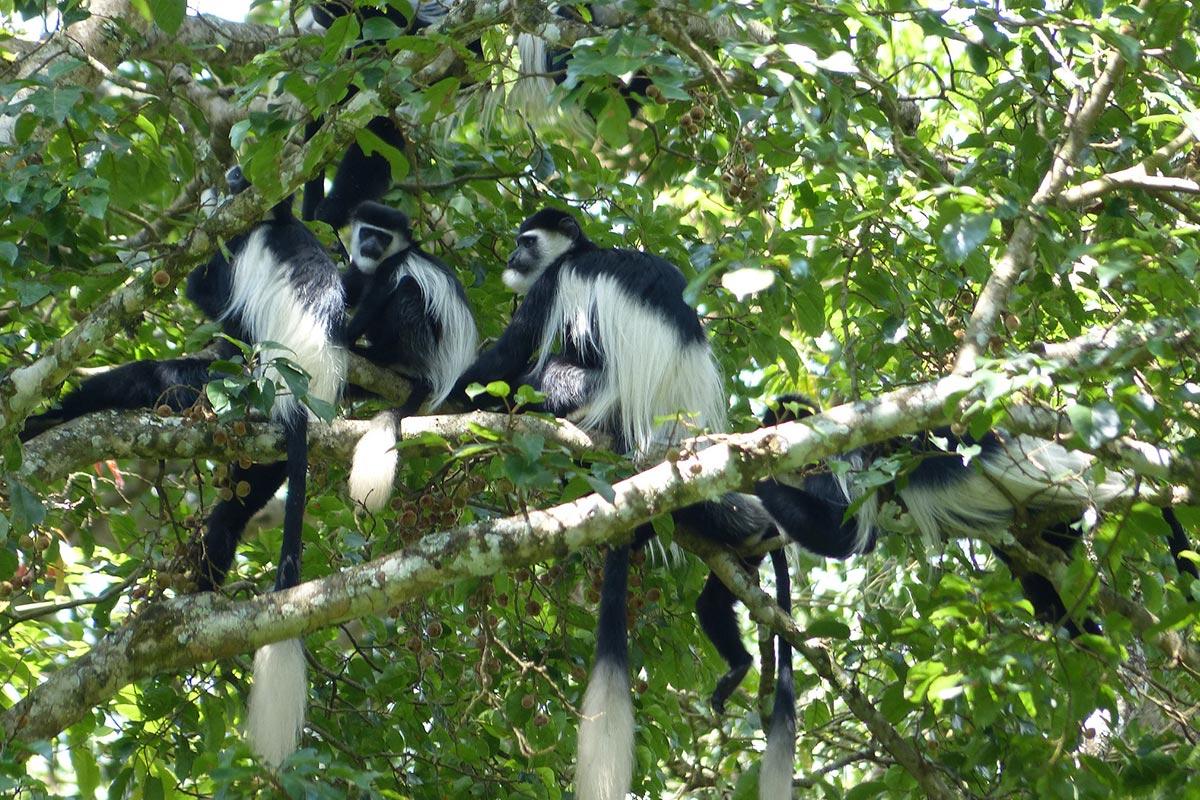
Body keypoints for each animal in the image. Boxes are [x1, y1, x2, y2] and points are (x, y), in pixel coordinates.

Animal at [338, 203, 477, 510]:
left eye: (384, 237)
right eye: (368, 232)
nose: (372, 245)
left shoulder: (390, 268)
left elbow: (374, 302)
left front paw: (342, 339)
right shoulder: (358, 270)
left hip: (423, 346)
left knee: (407, 291)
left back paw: (375, 353)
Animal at [458, 209, 796, 800]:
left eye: (528, 242)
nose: (513, 259)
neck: (582, 251)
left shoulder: (555, 286)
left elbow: (509, 353)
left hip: (594, 394)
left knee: (550, 372)